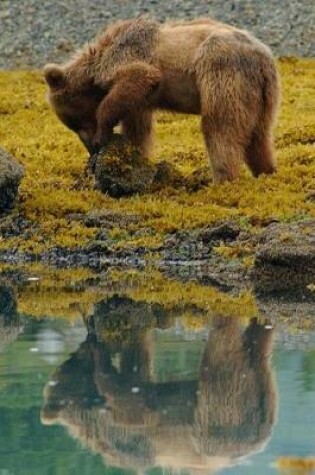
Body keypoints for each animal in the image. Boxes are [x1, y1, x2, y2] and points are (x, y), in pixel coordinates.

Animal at [42, 17, 282, 184]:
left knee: (220, 127)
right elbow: (138, 127)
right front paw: (136, 155)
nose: (91, 148)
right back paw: (266, 170)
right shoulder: (141, 102)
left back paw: (222, 179)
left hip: (222, 73)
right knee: (259, 135)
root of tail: (263, 58)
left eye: (79, 123)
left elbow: (141, 75)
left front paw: (104, 133)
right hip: (264, 96)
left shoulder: (127, 56)